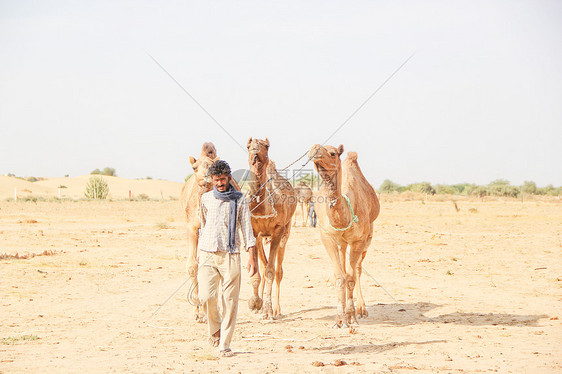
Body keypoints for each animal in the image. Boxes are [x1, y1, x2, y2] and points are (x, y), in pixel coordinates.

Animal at [179, 142, 238, 322]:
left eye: (212, 165)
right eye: (194, 167)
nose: (207, 177)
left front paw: (210, 310)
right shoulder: (192, 227)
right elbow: (192, 265)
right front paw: (198, 312)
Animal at [246, 137, 298, 318]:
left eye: (266, 146)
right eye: (248, 146)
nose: (255, 152)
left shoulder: (278, 231)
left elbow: (270, 271)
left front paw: (268, 310)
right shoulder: (254, 233)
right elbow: (257, 271)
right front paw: (255, 303)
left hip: (286, 233)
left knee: (278, 271)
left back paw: (277, 309)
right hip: (262, 237)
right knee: (263, 265)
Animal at [306, 143, 380, 328]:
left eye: (332, 153)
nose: (314, 148)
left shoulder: (358, 240)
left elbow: (351, 277)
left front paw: (351, 316)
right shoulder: (328, 238)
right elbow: (340, 277)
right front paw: (340, 319)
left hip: (367, 239)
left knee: (358, 269)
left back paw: (361, 309)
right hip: (341, 243)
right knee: (344, 270)